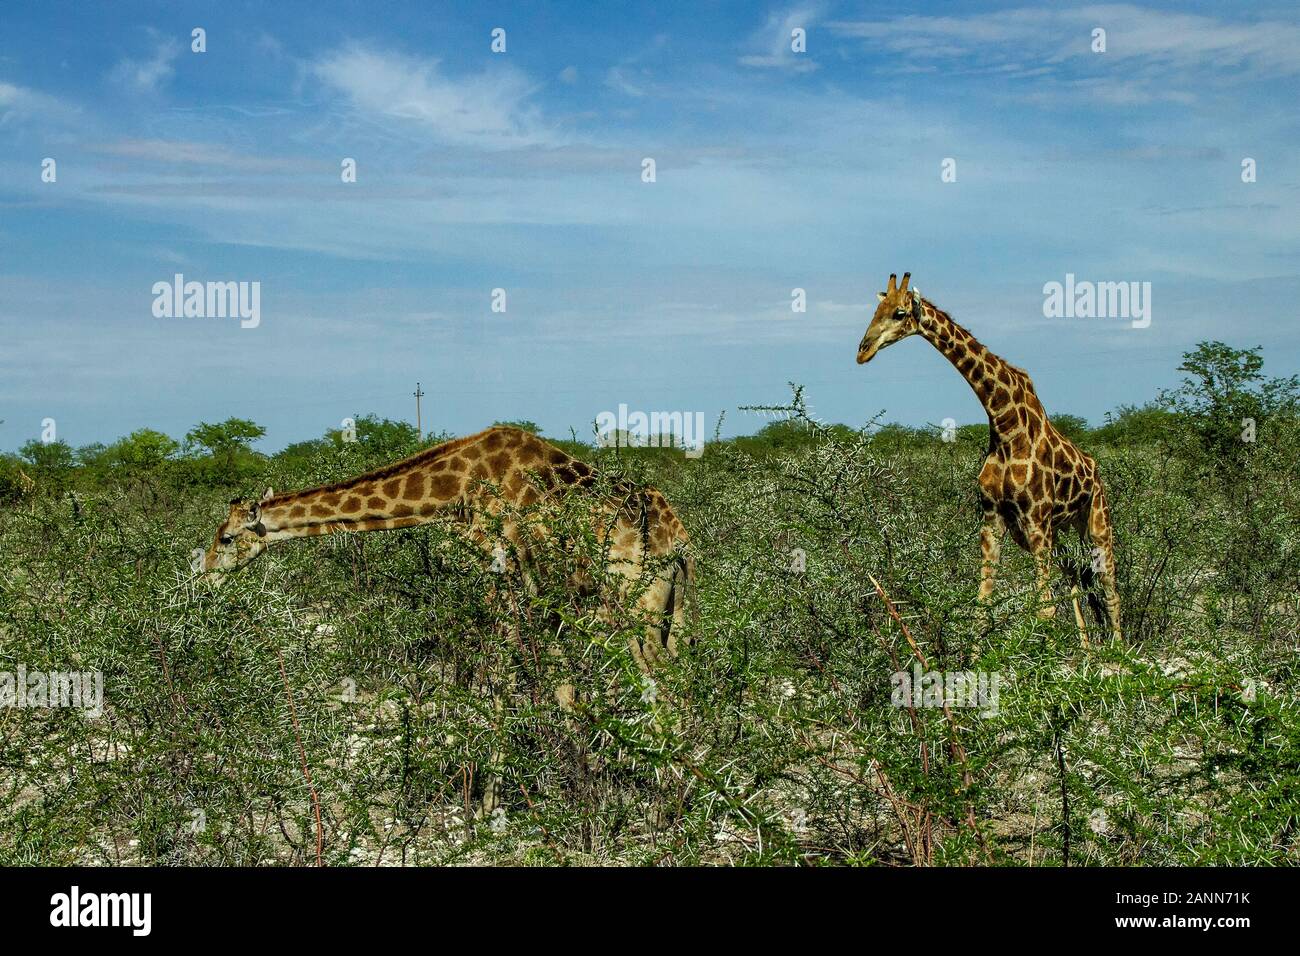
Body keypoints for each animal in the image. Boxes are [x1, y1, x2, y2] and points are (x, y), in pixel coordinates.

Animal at [201, 426, 696, 665]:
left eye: (225, 537)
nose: (203, 574)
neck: (452, 494)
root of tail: (682, 545)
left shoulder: (499, 573)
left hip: (635, 604)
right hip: (667, 609)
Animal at [857, 273, 1123, 647]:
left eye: (899, 313)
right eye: (875, 310)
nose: (862, 350)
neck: (1004, 423)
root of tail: (1094, 470)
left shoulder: (1035, 519)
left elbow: (1044, 609)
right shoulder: (994, 519)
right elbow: (982, 606)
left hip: (1095, 521)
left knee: (1110, 586)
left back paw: (1120, 650)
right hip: (1056, 530)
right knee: (1076, 573)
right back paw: (1087, 650)